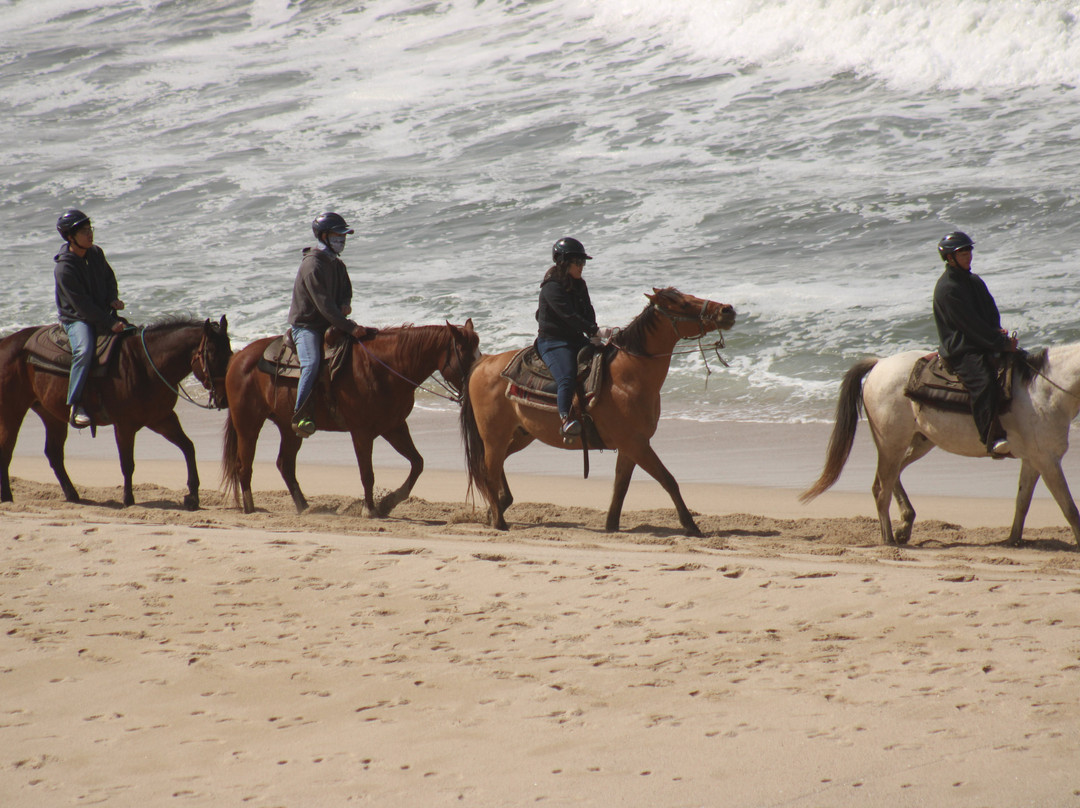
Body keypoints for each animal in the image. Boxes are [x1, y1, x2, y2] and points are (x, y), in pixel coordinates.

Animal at [0, 316, 232, 509]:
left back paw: (72, 495)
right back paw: (8, 497)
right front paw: (129, 500)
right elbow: (127, 464)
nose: (224, 399)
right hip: (12, 410)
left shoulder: (162, 419)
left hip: (51, 414)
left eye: (230, 353)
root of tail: (6, 343)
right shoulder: (124, 426)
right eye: (212, 354)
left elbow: (188, 447)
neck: (145, 365)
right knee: (7, 449)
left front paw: (192, 496)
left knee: (54, 454)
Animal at [221, 320, 479, 516]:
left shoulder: (394, 427)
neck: (384, 368)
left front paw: (388, 502)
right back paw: (250, 508)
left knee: (285, 464)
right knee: (244, 465)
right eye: (465, 354)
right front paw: (370, 509)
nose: (473, 385)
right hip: (248, 423)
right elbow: (367, 473)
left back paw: (304, 507)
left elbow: (417, 463)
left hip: (288, 427)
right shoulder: (362, 433)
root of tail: (239, 358)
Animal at [460, 287, 736, 536]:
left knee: (495, 466)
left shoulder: (630, 446)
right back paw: (499, 522)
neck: (628, 376)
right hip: (494, 437)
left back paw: (497, 508)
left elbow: (620, 486)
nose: (727, 310)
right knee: (489, 471)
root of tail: (483, 362)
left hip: (520, 435)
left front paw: (611, 525)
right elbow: (668, 480)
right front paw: (691, 526)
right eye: (683, 304)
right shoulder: (637, 444)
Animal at [801, 345, 1080, 549]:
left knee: (889, 479)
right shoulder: (1047, 460)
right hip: (892, 443)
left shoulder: (1034, 460)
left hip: (918, 443)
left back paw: (904, 525)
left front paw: (1013, 540)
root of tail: (879, 364)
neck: (1044, 391)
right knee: (882, 488)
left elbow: (1022, 502)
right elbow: (1069, 507)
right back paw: (890, 540)